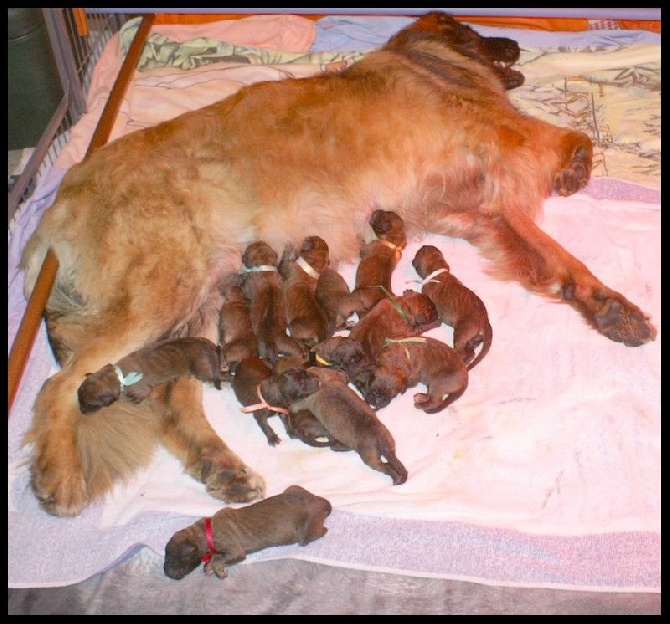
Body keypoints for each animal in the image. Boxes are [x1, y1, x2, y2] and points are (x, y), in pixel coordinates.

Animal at [76, 336, 223, 414]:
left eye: (90, 405)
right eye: (78, 396)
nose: (81, 411)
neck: (118, 376)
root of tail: (203, 341)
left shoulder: (143, 390)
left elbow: (138, 397)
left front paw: (132, 400)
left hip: (202, 371)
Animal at [163, 482, 330, 580]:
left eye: (171, 557)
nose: (166, 574)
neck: (205, 531)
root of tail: (321, 501)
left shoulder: (234, 550)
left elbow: (218, 558)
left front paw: (217, 569)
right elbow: (216, 557)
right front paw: (210, 566)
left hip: (307, 530)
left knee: (319, 532)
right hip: (293, 488)